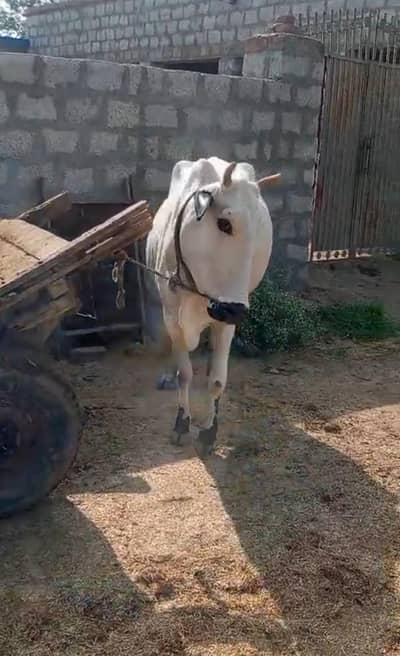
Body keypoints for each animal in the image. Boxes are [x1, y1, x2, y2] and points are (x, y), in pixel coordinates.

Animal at [145, 157, 279, 456]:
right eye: (224, 223)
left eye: (261, 230)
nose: (234, 310)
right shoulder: (172, 316)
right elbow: (185, 373)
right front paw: (181, 424)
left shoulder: (226, 319)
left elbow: (217, 380)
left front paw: (208, 432)